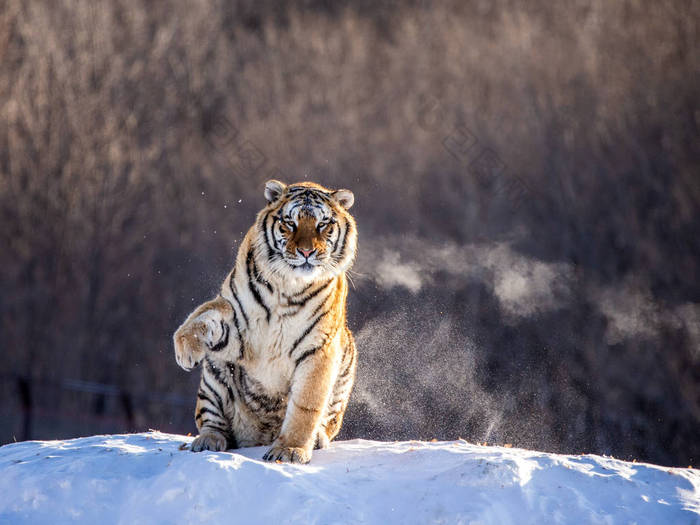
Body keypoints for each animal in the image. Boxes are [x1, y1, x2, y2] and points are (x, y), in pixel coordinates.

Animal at [173, 179, 358, 462]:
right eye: (290, 223)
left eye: (322, 224)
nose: (307, 251)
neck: (290, 286)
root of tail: (257, 436)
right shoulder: (237, 321)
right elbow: (206, 315)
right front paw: (184, 350)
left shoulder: (318, 347)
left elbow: (305, 406)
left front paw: (289, 450)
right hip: (214, 375)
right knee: (210, 420)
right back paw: (207, 441)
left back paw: (315, 439)